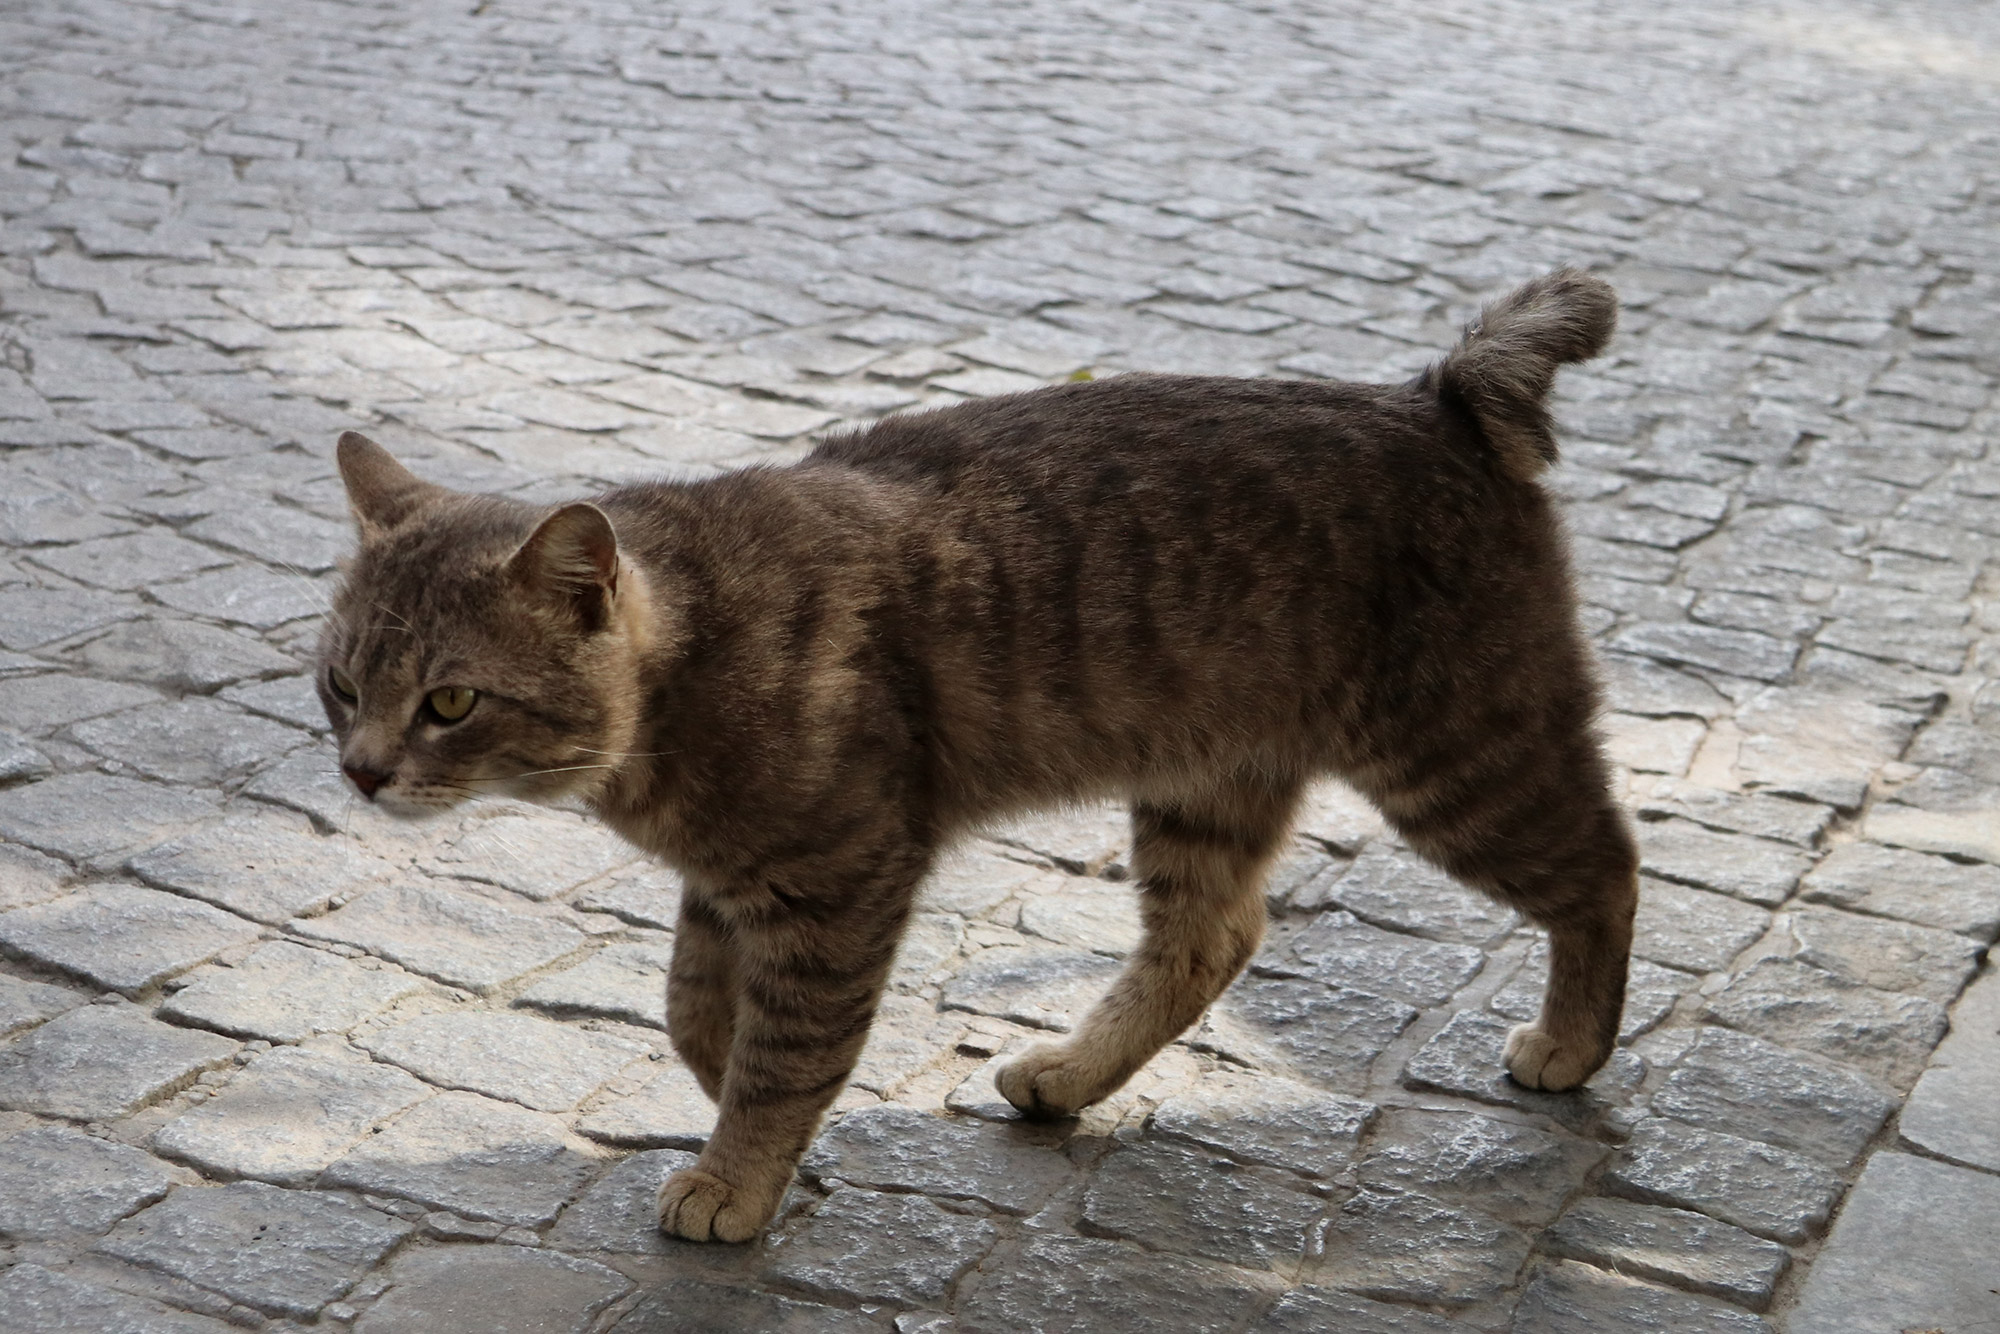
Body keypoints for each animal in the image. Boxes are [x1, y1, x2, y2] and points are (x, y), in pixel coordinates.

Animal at [320, 266, 1640, 1248]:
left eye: (449, 700)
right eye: (340, 684)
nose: (362, 771)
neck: (690, 659)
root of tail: (1439, 396)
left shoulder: (837, 879)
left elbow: (784, 1051)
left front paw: (735, 1172)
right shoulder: (739, 878)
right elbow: (697, 1007)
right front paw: (728, 1101)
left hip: (1464, 762)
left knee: (1608, 871)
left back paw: (1570, 1043)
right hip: (1204, 787)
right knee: (1209, 937)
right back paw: (1071, 1071)